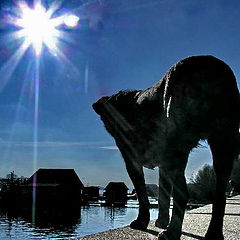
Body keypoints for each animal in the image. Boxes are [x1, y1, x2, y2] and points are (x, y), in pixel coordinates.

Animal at [93, 55, 239, 239]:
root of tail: (204, 64)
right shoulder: (163, 163)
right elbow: (163, 193)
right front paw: (161, 220)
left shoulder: (132, 161)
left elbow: (142, 195)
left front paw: (142, 221)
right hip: (222, 140)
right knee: (219, 194)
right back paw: (213, 233)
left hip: (177, 146)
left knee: (182, 193)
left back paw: (172, 232)